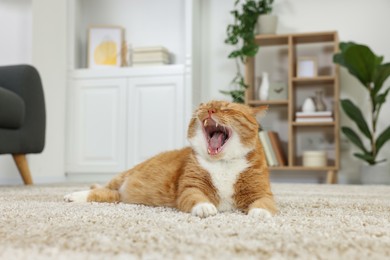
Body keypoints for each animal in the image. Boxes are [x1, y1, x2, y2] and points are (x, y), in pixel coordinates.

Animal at [64, 100, 278, 218]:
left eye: (226, 109)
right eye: (205, 106)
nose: (209, 110)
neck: (222, 163)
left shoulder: (261, 191)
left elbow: (265, 202)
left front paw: (260, 212)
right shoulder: (190, 186)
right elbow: (196, 197)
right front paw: (205, 207)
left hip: (119, 197)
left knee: (105, 193)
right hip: (121, 178)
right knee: (101, 188)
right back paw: (73, 195)